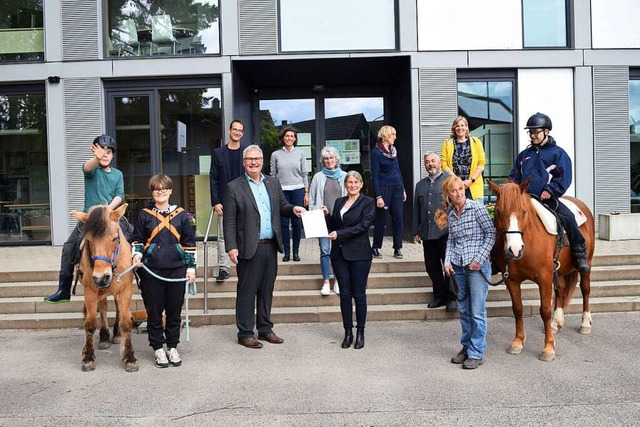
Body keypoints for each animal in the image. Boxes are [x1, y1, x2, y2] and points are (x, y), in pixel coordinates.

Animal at [72, 203, 138, 372]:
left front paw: (129, 357)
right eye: (89, 240)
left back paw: (117, 335)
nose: (101, 277)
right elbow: (90, 324)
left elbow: (126, 322)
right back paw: (104, 336)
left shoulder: (125, 290)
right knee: (102, 308)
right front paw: (88, 358)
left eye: (114, 238)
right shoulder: (90, 291)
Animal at [488, 179, 596, 362]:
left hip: (586, 264)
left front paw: (548, 348)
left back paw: (585, 323)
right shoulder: (511, 280)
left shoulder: (543, 278)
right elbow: (517, 309)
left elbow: (544, 310)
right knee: (560, 290)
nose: (514, 250)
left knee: (585, 290)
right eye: (498, 211)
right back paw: (555, 323)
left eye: (524, 211)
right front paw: (517, 342)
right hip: (559, 270)